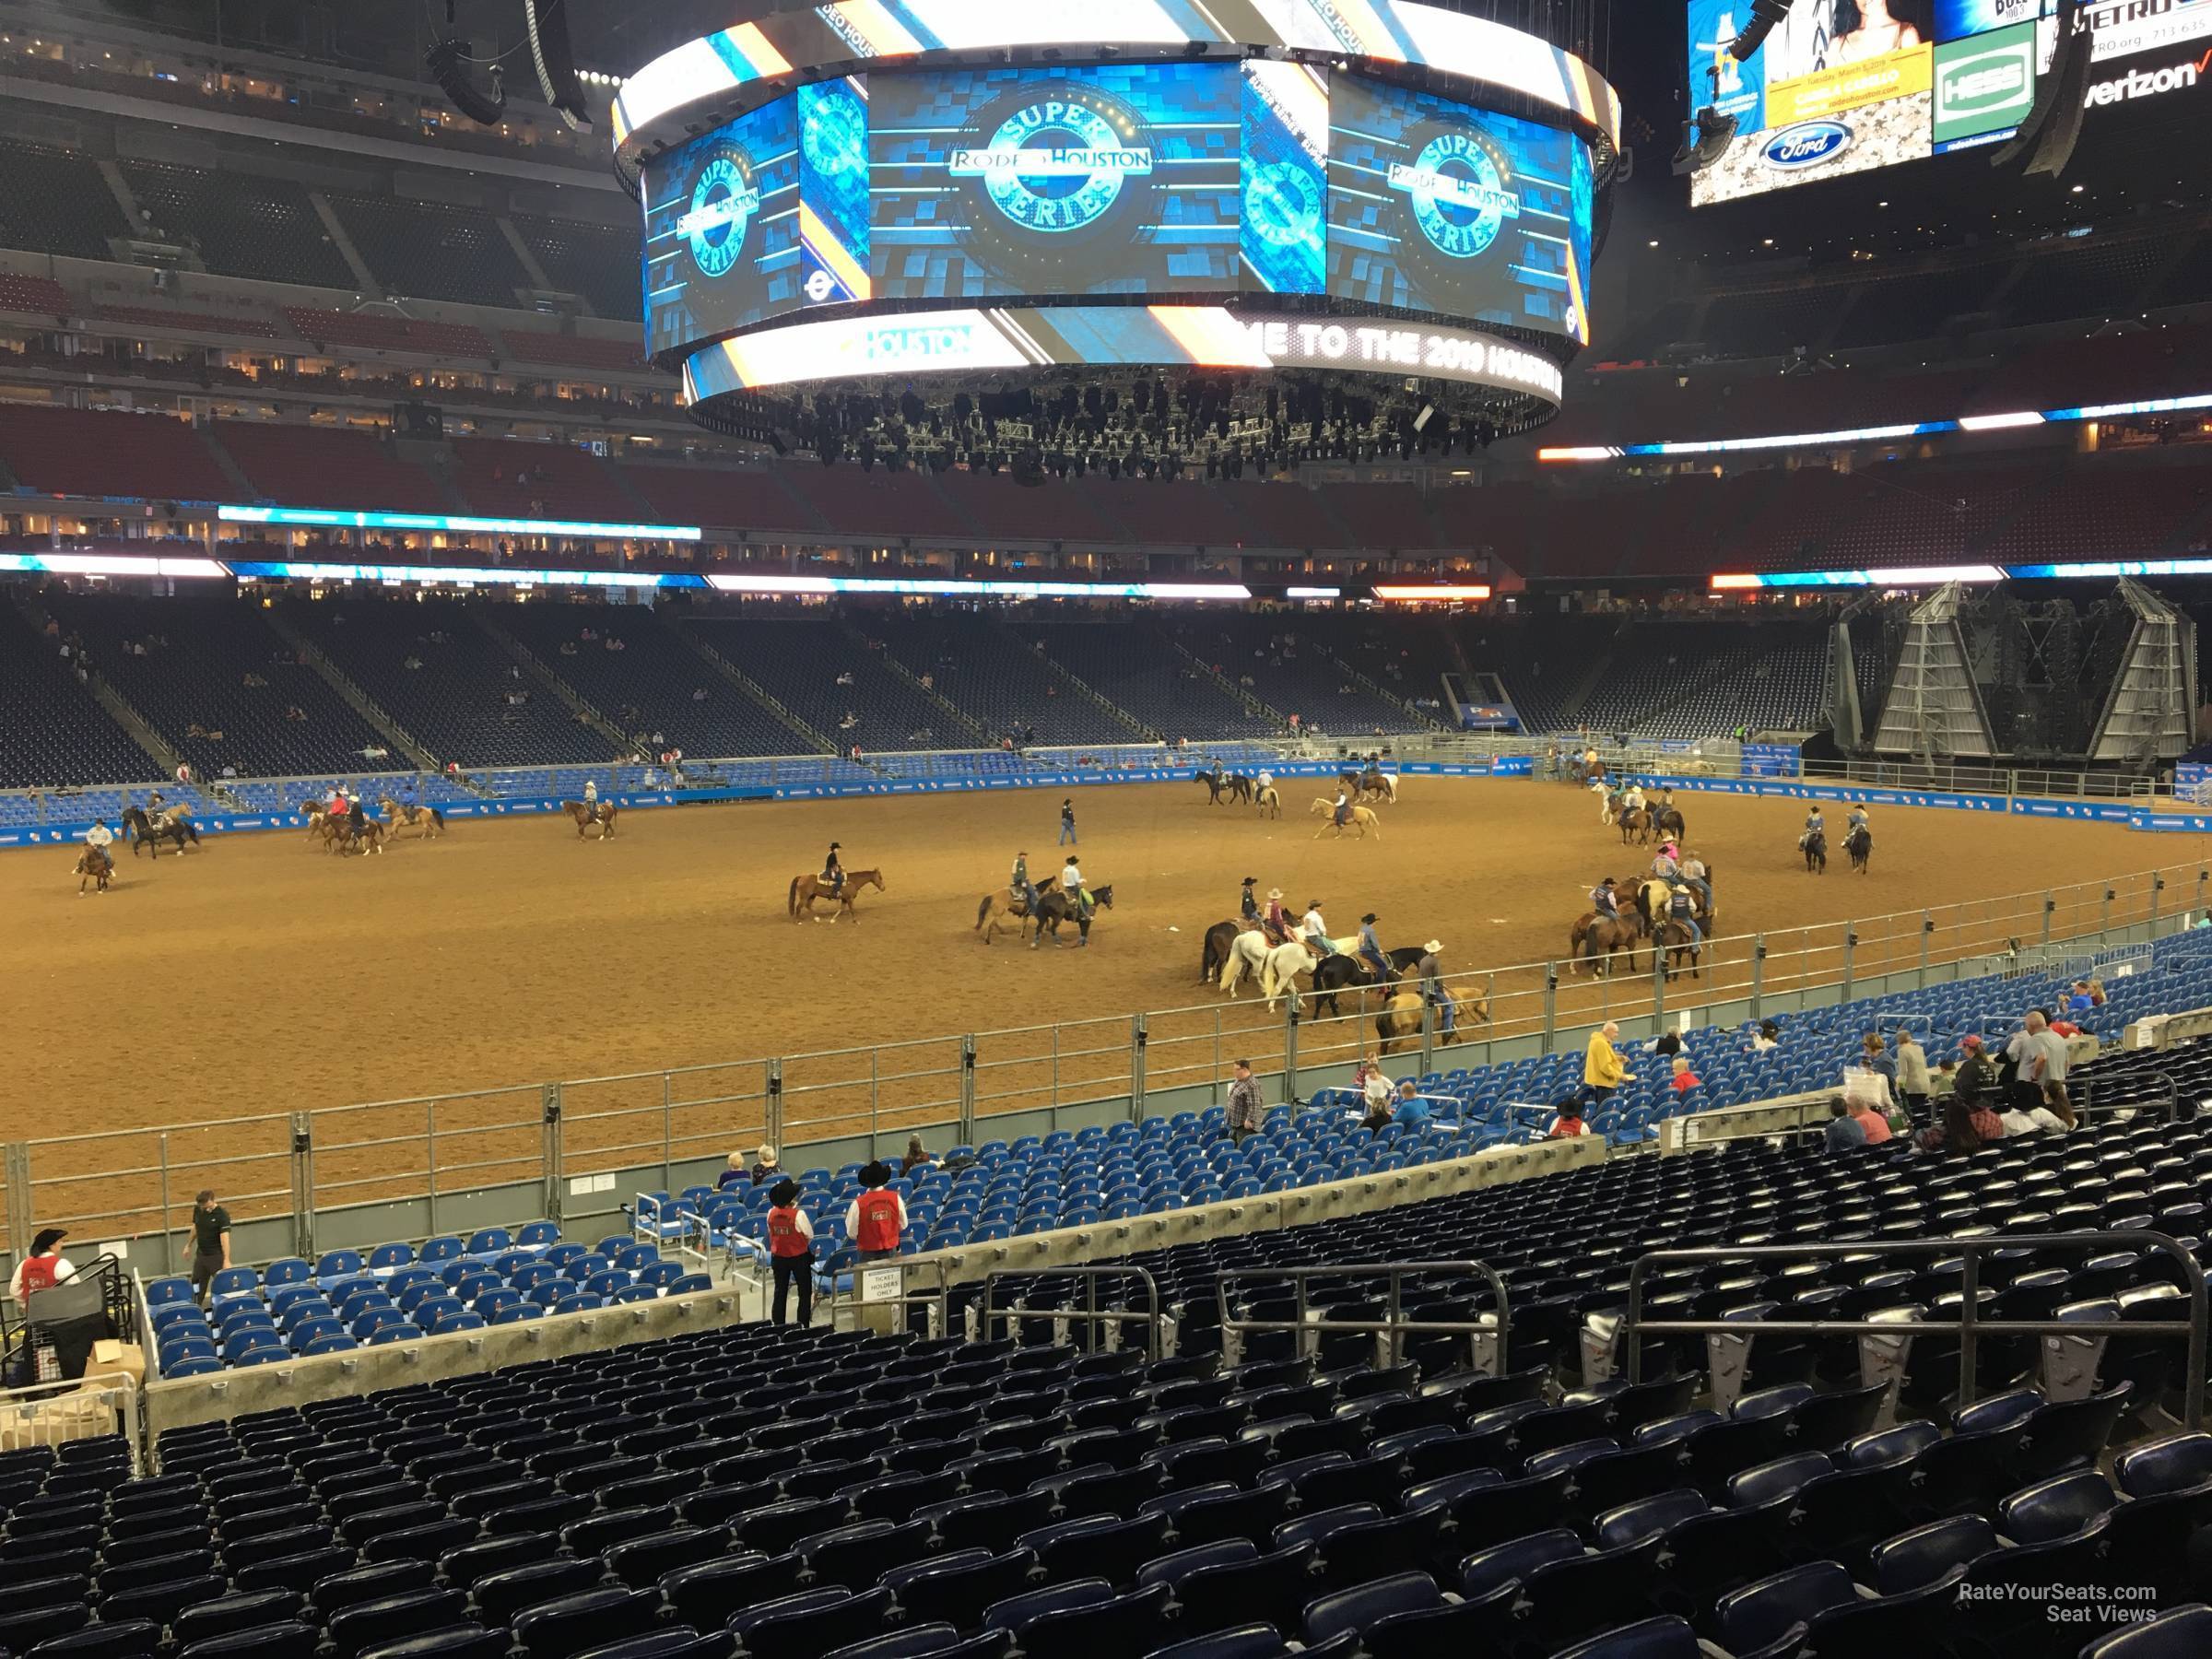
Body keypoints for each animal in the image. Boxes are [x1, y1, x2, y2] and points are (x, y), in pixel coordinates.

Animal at [1371, 995, 1495, 1057]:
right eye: (1487, 1004)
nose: (1487, 1018)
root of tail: (1392, 1003)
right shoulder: (1449, 1028)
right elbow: (1446, 1041)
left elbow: (1458, 1039)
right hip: (1401, 1034)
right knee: (1393, 1047)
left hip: (1385, 1035)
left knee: (1383, 1047)